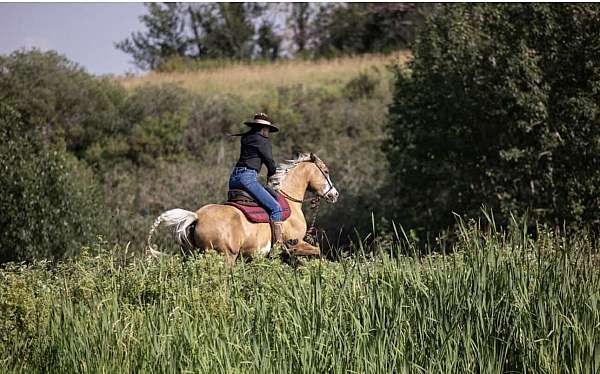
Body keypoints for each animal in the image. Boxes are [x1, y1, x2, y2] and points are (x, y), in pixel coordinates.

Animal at [146, 152, 338, 262]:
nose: (334, 195)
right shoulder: (295, 244)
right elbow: (318, 251)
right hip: (226, 256)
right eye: (326, 171)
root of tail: (197, 216)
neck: (289, 201)